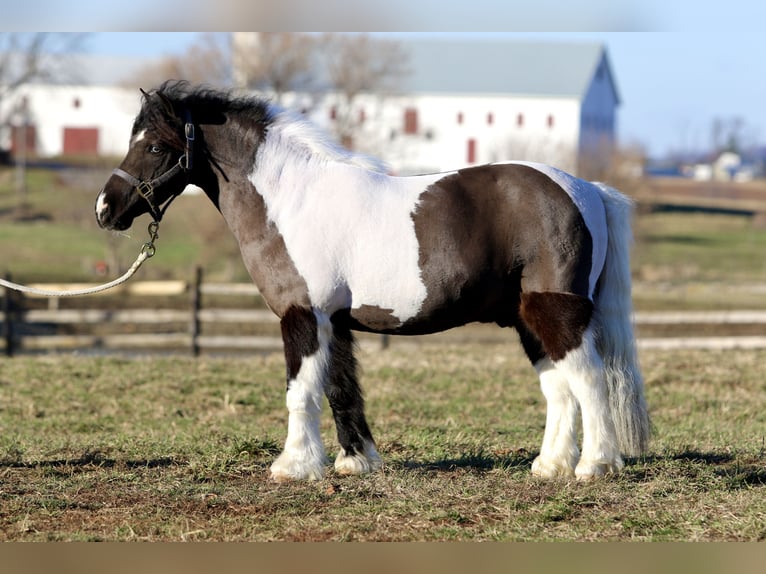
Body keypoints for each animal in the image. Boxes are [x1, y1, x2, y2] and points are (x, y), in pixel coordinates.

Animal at [93, 83, 652, 484]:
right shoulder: (334, 321)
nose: (105, 209)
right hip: (526, 318)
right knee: (560, 388)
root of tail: (585, 189)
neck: (291, 198)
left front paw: (293, 466)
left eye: (154, 145)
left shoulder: (303, 315)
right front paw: (355, 461)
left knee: (589, 380)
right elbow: (341, 387)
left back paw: (594, 466)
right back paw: (550, 466)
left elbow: (302, 391)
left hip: (555, 310)